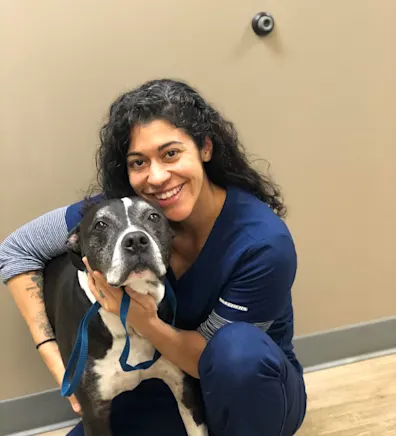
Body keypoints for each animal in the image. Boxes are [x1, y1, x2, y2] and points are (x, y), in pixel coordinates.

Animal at [43, 197, 207, 436]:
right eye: (101, 224)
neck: (127, 323)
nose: (136, 240)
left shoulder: (184, 387)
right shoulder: (94, 413)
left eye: (153, 216)